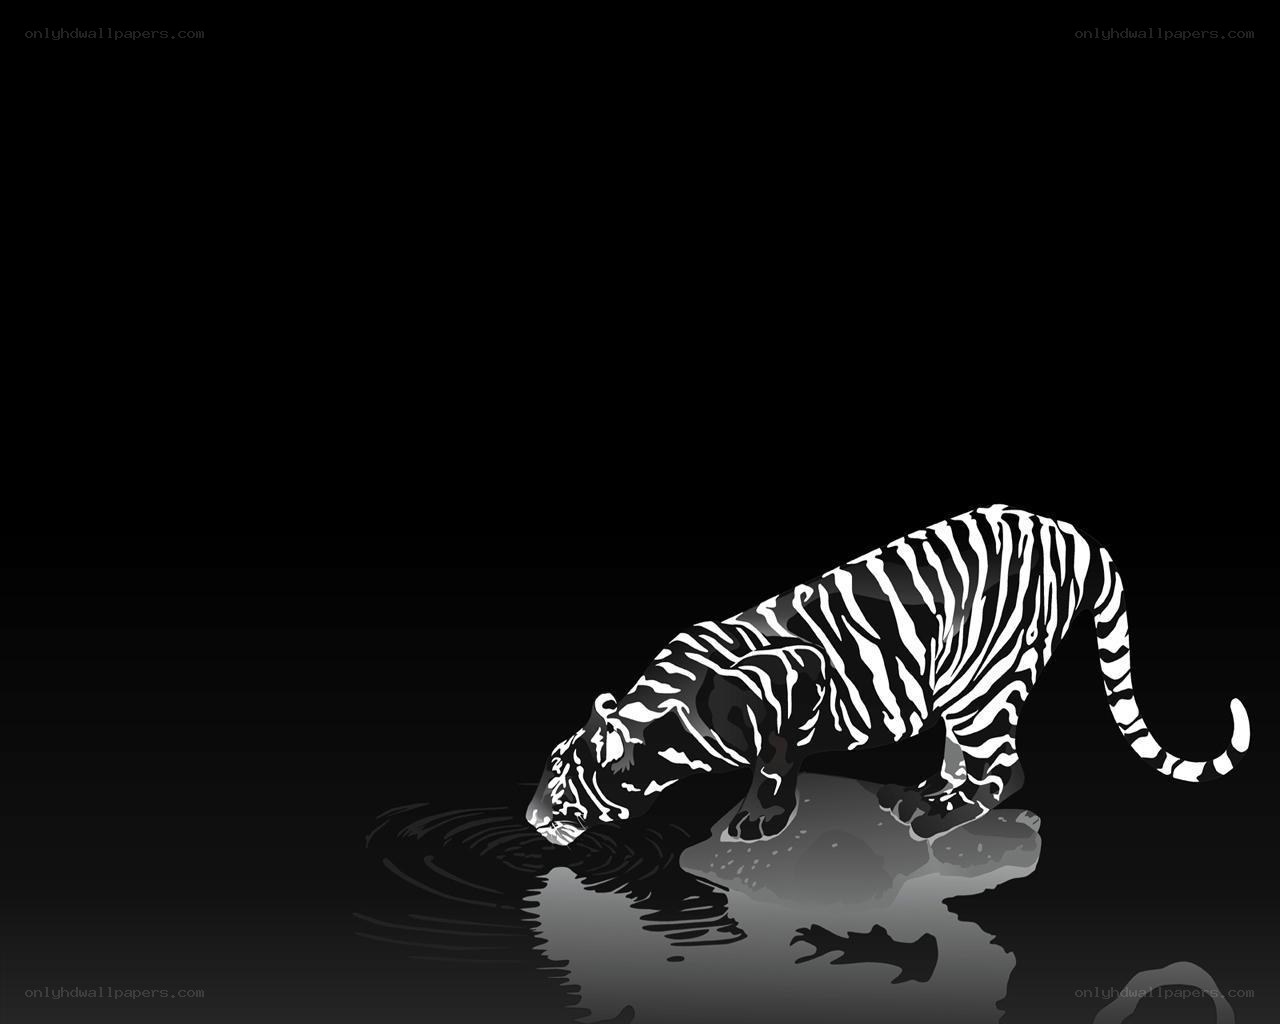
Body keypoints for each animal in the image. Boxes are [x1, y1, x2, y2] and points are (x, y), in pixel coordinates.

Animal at [525, 505, 1251, 845]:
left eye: (562, 781)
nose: (530, 820)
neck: (667, 718)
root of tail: (1068, 530)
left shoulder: (797, 678)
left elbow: (775, 759)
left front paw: (759, 818)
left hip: (983, 687)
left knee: (1008, 770)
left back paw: (935, 816)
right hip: (962, 687)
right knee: (968, 756)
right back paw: (922, 793)